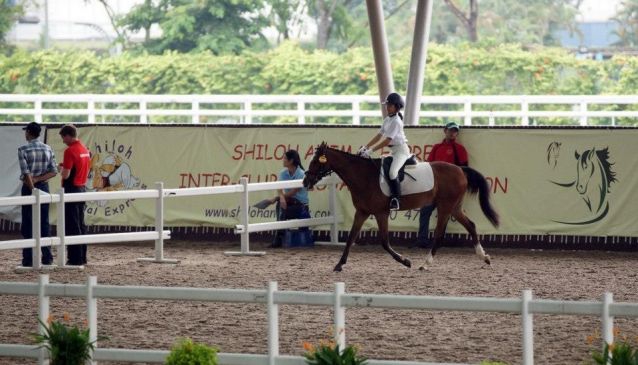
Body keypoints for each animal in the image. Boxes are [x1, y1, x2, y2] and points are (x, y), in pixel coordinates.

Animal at [304, 142, 500, 270]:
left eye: (316, 162)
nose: (306, 182)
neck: (364, 176)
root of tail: (460, 169)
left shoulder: (381, 213)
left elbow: (384, 242)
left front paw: (406, 261)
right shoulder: (362, 212)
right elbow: (351, 237)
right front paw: (339, 264)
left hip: (445, 206)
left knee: (439, 234)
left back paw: (425, 264)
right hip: (454, 207)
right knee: (471, 225)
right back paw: (484, 257)